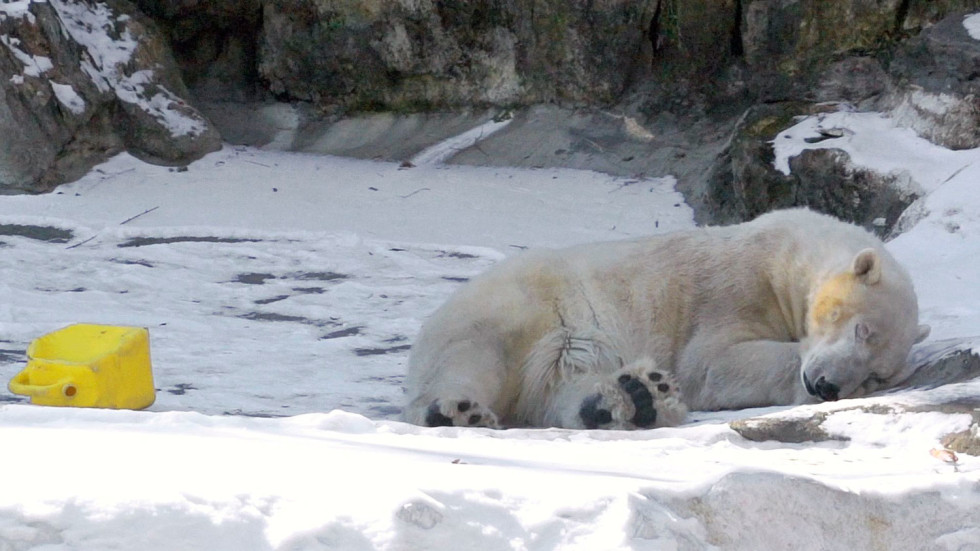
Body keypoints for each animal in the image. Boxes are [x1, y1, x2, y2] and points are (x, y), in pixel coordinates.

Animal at [402, 209, 932, 430]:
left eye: (877, 374)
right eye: (860, 328)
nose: (827, 385)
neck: (789, 255)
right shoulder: (732, 286)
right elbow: (713, 362)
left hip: (563, 345)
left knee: (565, 385)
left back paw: (633, 399)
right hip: (511, 310)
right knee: (472, 358)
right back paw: (455, 411)